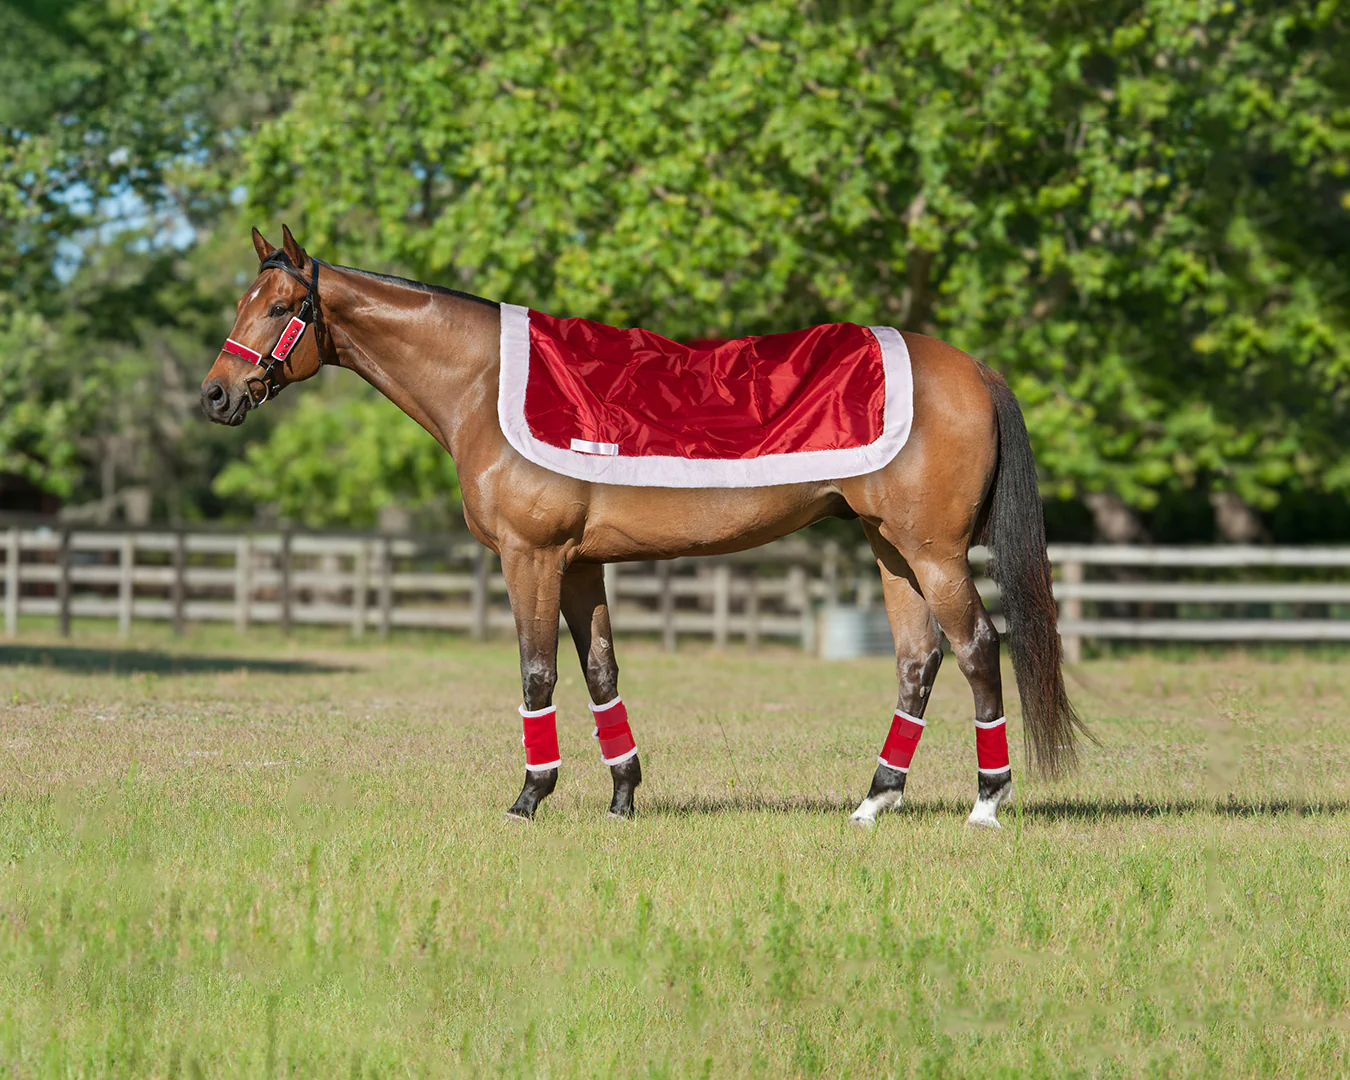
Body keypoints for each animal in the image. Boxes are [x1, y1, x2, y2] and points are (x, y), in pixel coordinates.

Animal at [201, 225, 1088, 828]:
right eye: (242, 303)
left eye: (281, 307)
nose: (215, 395)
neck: (484, 384)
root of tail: (974, 368)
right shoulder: (581, 564)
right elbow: (600, 672)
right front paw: (623, 796)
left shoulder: (532, 557)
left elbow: (537, 674)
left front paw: (529, 797)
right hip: (889, 548)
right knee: (917, 659)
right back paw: (876, 800)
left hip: (933, 552)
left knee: (977, 649)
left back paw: (987, 802)